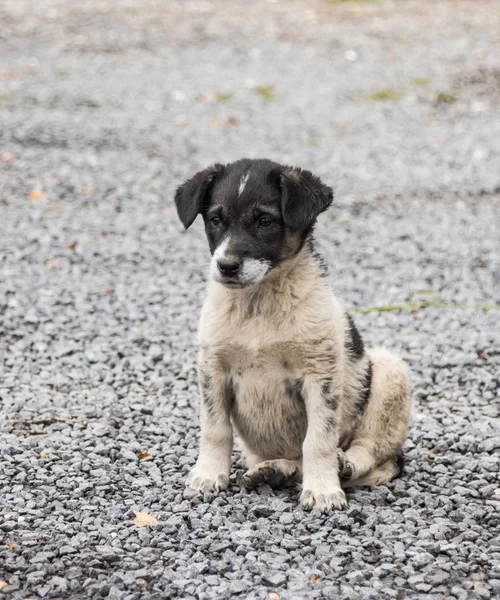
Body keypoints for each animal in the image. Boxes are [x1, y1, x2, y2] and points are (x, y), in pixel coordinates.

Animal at [175, 158, 410, 510]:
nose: (226, 266)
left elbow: (318, 440)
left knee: (376, 454)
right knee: (294, 462)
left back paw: (344, 463)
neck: (259, 305)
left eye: (265, 221)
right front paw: (207, 475)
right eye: (216, 220)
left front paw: (323, 489)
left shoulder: (320, 374)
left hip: (389, 373)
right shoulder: (212, 369)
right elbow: (215, 429)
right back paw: (275, 470)